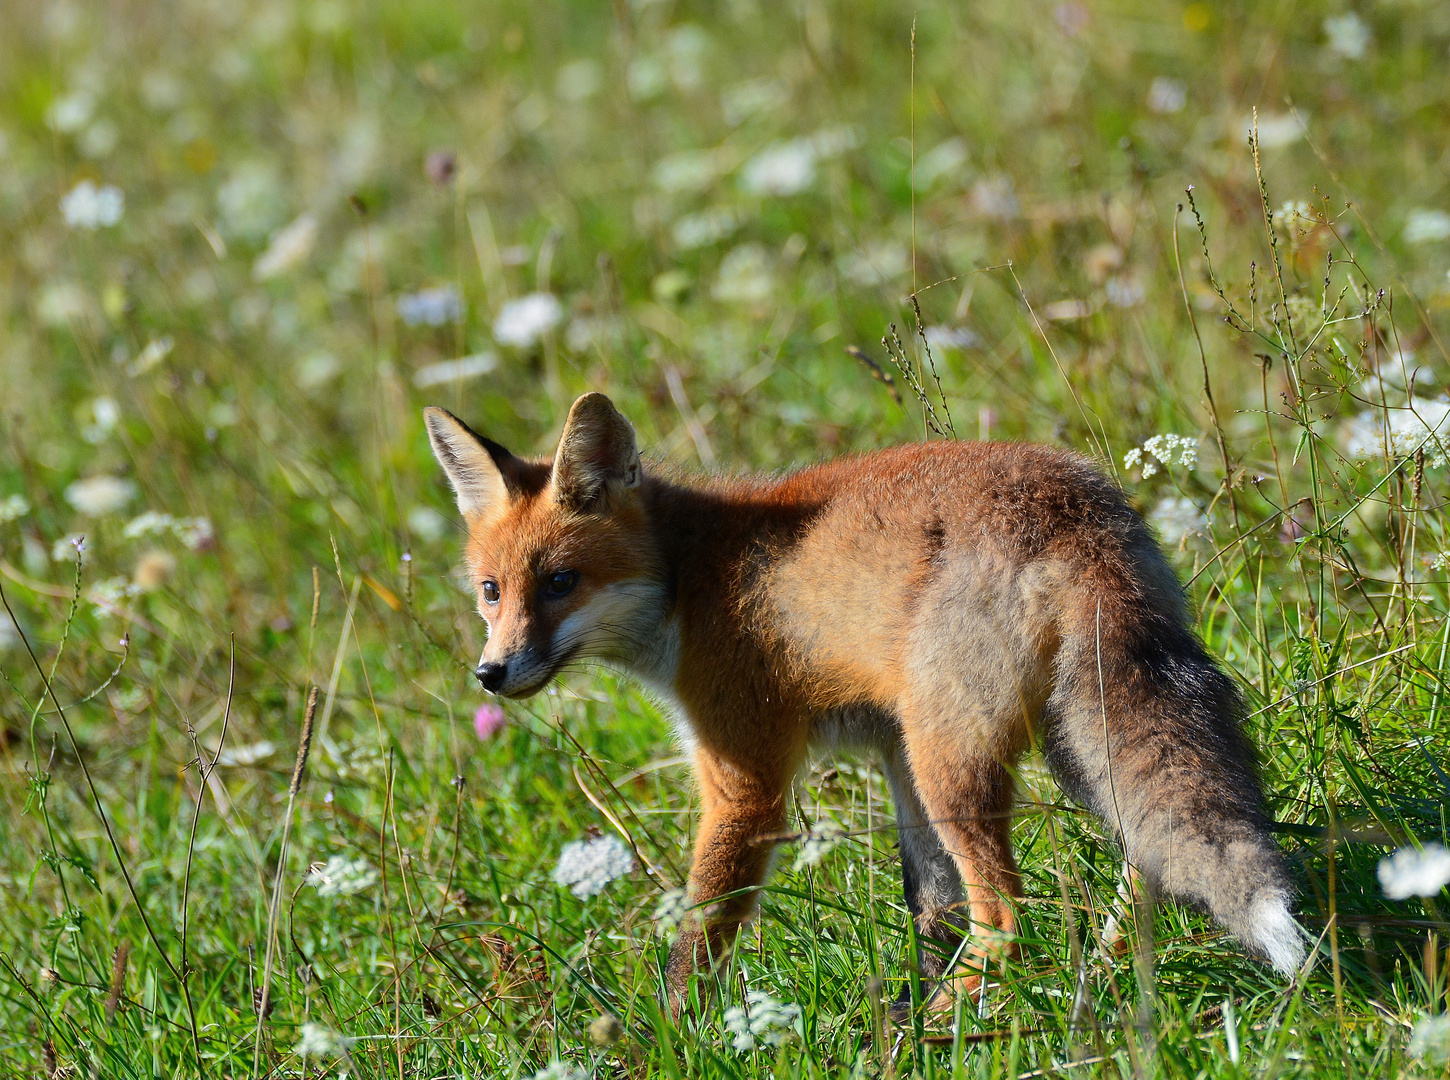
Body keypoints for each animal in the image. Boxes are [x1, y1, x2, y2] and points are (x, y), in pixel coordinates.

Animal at [423, 394, 1310, 1008]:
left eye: (561, 583)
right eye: (491, 591)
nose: (491, 674)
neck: (689, 579)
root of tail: (1079, 512)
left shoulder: (746, 782)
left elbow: (697, 940)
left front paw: (668, 1039)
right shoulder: (891, 753)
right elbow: (930, 908)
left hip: (955, 759)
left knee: (1009, 921)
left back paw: (948, 1024)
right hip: (1060, 745)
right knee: (1142, 863)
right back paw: (1087, 981)